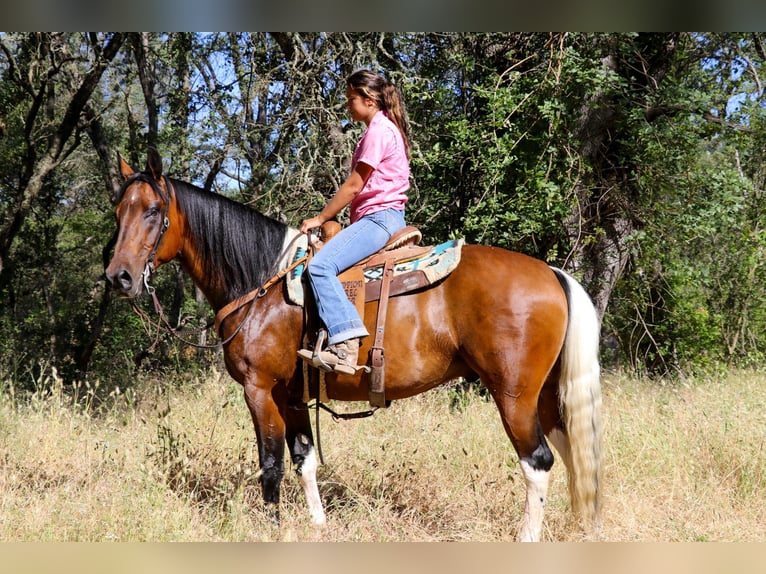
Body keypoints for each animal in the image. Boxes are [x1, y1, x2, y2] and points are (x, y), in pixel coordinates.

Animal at [105, 149, 602, 541]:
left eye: (153, 210)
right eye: (118, 211)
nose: (118, 278)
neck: (260, 284)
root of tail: (551, 273)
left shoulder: (259, 389)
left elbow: (271, 464)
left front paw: (271, 529)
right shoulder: (292, 394)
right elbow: (304, 459)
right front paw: (318, 525)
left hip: (513, 394)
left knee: (537, 461)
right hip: (546, 395)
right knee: (573, 455)